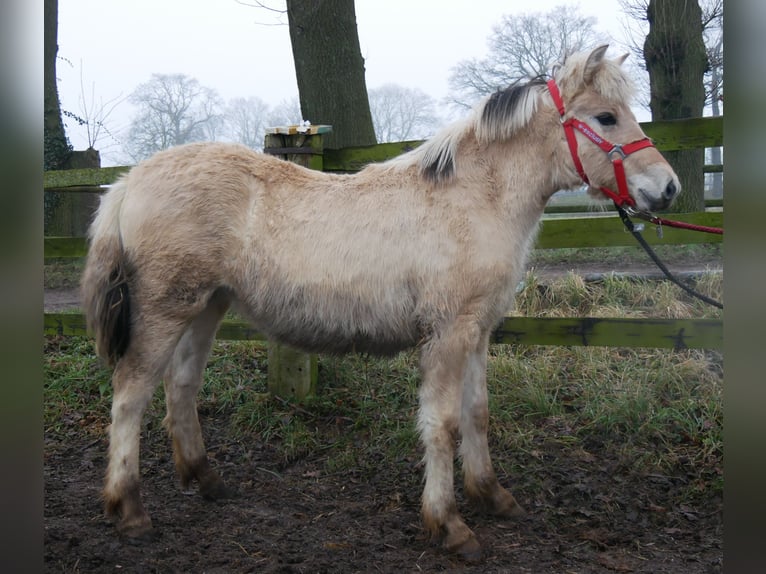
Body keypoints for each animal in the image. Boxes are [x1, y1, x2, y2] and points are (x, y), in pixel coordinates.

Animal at [82, 46, 684, 564]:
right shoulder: (447, 333)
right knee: (130, 396)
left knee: (180, 386)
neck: (472, 198)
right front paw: (449, 525)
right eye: (606, 117)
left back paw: (205, 479)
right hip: (165, 309)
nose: (669, 188)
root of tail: (129, 180)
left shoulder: (478, 330)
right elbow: (442, 423)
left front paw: (492, 496)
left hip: (206, 306)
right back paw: (129, 511)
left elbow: (477, 413)